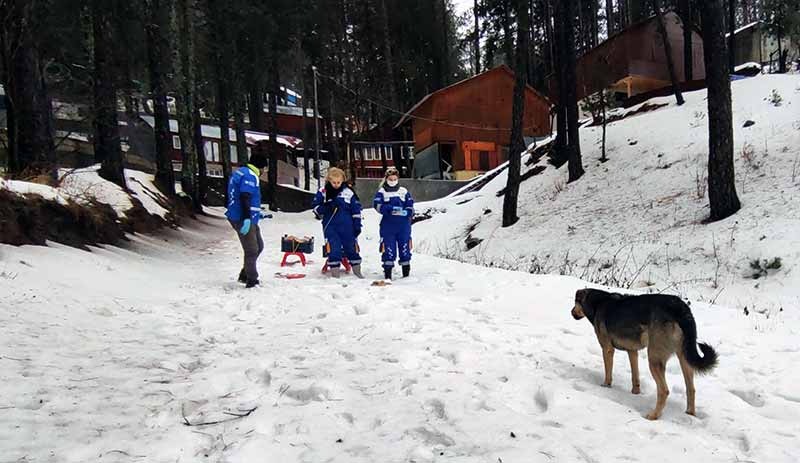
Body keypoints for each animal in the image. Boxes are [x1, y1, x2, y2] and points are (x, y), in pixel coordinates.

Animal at [568, 290, 720, 420]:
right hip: (684, 356)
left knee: (664, 391)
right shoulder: (632, 351)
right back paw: (690, 413)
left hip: (654, 358)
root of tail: (682, 309)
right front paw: (635, 392)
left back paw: (653, 415)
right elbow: (635, 376)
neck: (597, 302)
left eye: (575, 302)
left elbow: (608, 372)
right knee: (691, 388)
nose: (571, 312)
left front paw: (606, 385)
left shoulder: (607, 349)